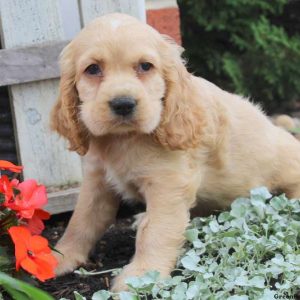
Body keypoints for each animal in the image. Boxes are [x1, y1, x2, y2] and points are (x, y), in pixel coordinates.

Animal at [50, 12, 300, 290]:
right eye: (93, 69)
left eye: (145, 66)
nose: (123, 104)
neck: (124, 140)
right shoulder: (97, 180)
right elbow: (81, 220)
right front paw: (60, 257)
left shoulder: (167, 185)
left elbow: (156, 231)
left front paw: (140, 277)